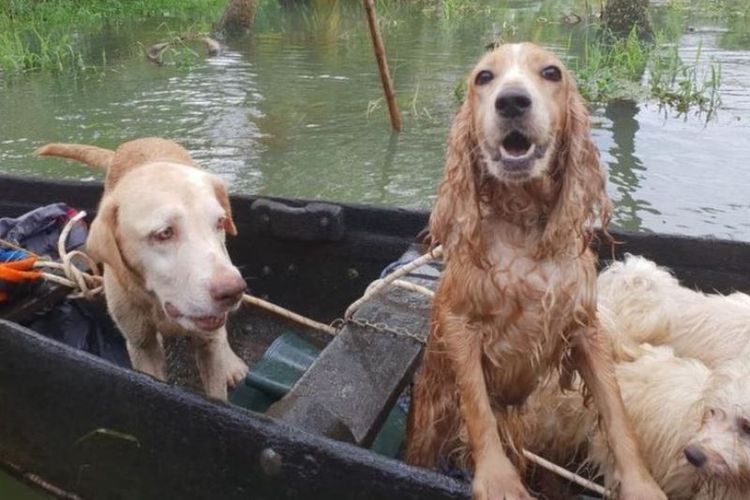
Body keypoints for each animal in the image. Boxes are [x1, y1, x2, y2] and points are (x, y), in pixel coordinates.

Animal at [38, 139, 248, 400]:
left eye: (219, 222)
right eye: (164, 233)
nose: (233, 291)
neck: (158, 302)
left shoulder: (208, 344)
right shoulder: (141, 345)